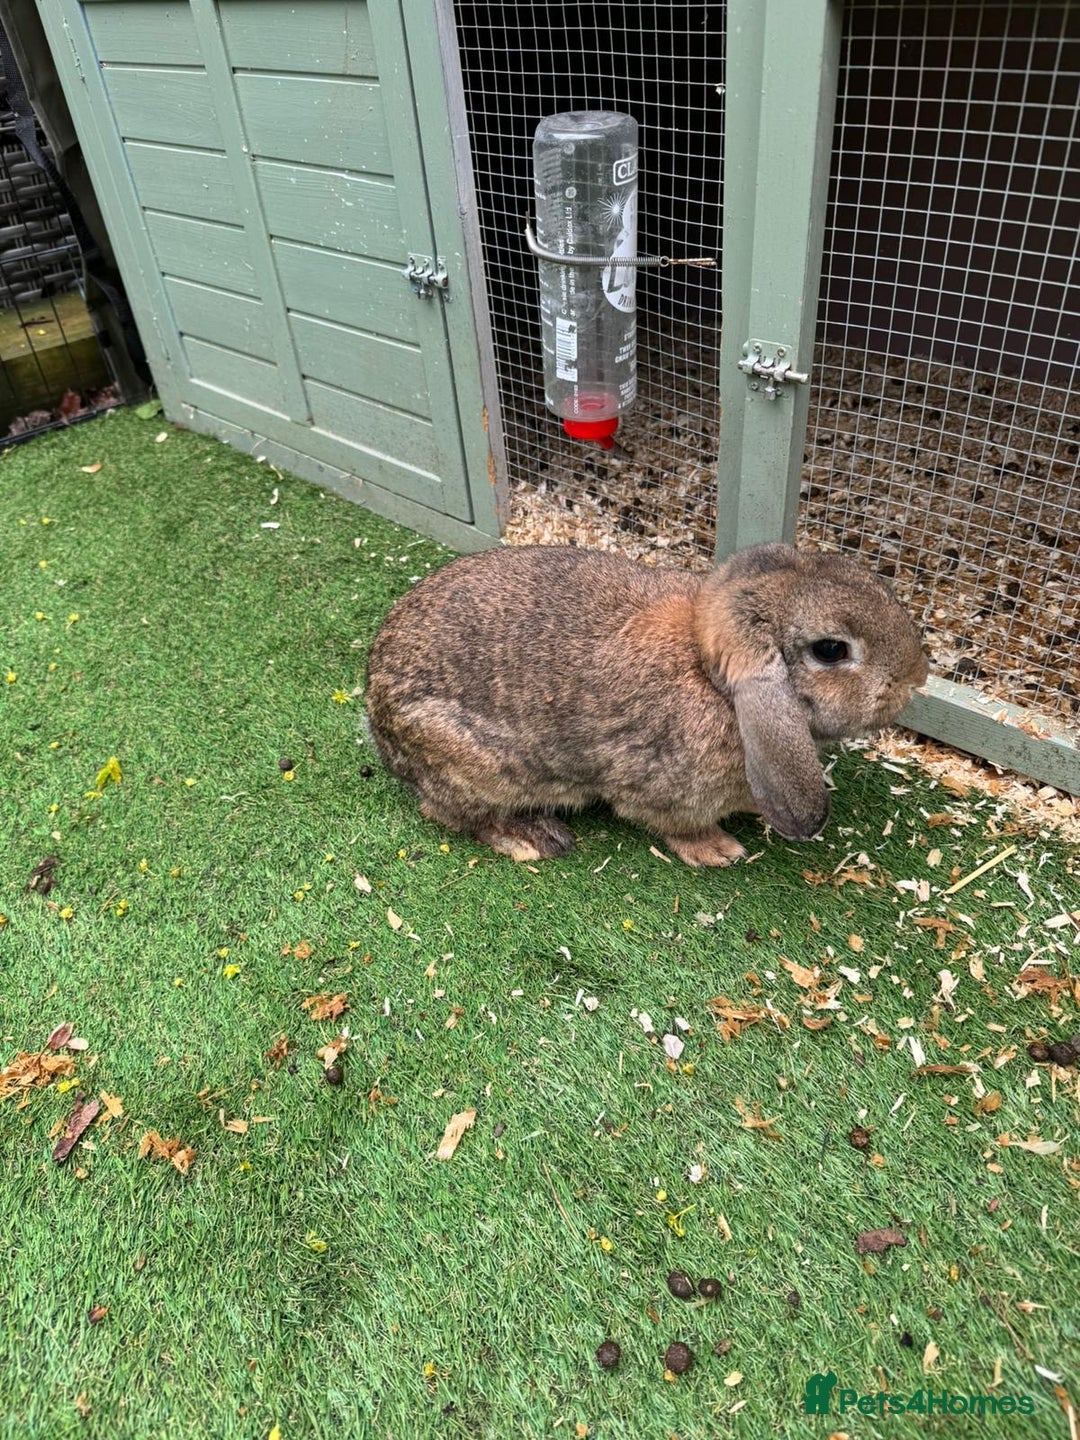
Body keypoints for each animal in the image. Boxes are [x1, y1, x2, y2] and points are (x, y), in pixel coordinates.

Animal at [364, 542, 929, 866]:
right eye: (831, 650)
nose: (916, 679)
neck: (711, 677)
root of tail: (378, 722)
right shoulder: (656, 788)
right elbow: (674, 824)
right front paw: (718, 851)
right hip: (474, 766)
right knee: (453, 813)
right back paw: (534, 839)